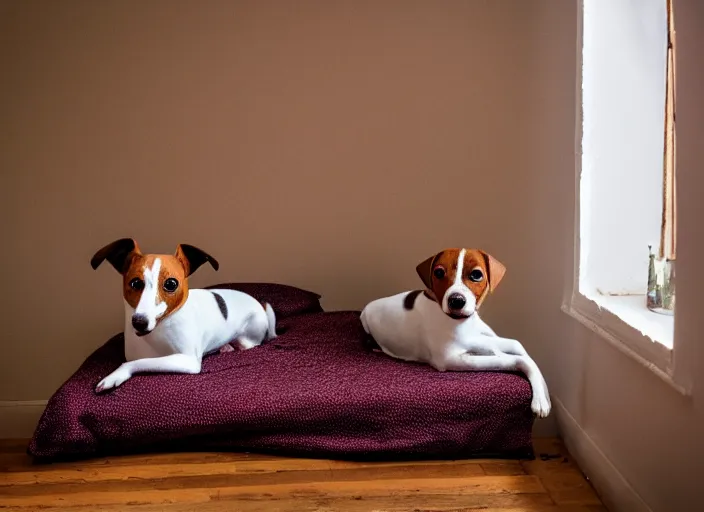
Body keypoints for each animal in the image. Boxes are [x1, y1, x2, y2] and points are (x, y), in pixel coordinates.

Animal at [93, 237, 278, 392]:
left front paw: (115, 375)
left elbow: (135, 362)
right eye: (135, 283)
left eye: (171, 284)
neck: (159, 329)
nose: (139, 322)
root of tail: (259, 304)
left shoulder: (187, 360)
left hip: (248, 337)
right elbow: (135, 359)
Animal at [364, 246, 552, 418]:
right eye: (439, 272)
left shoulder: (486, 340)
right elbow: (519, 359)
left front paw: (543, 393)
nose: (456, 301)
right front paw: (541, 398)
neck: (462, 324)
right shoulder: (452, 359)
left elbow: (519, 347)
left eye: (476, 274)